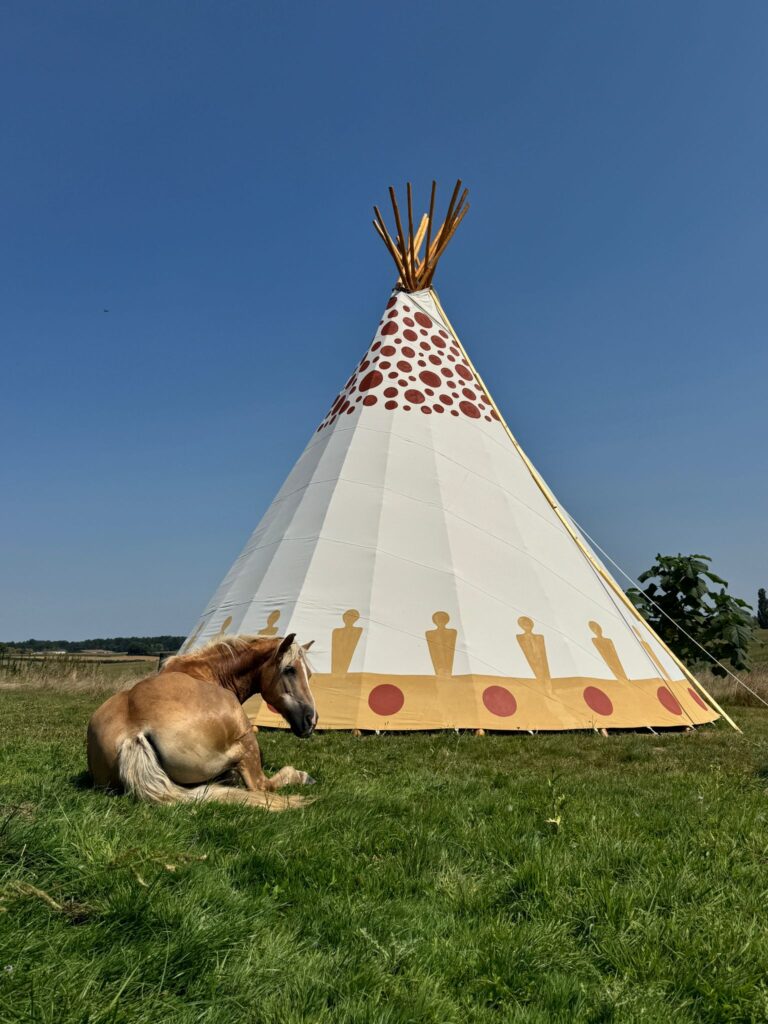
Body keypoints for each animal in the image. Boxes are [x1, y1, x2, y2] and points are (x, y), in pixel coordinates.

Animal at [86, 633, 317, 811]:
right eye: (289, 669)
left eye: (309, 674)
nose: (311, 719)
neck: (207, 671)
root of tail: (134, 734)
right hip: (247, 742)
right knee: (261, 785)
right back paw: (302, 776)